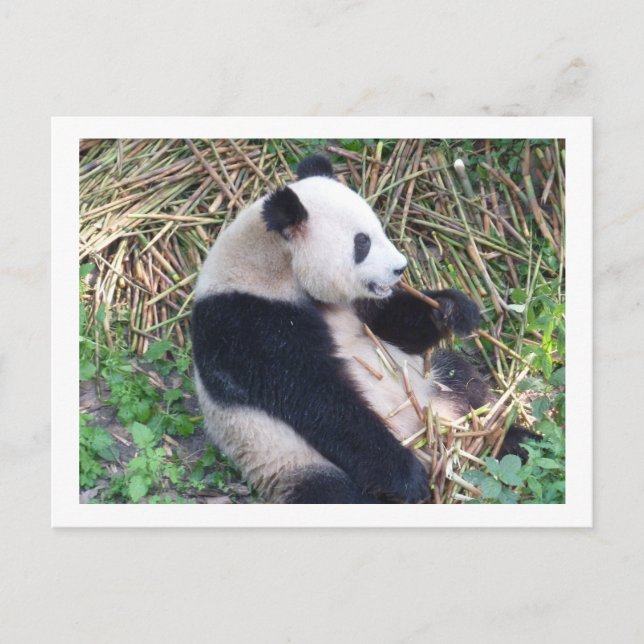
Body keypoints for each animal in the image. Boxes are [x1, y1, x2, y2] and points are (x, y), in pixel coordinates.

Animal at [192, 155, 530, 504]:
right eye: (362, 243)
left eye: (378, 229)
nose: (400, 268)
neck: (272, 264)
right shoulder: (248, 323)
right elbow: (318, 399)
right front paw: (407, 477)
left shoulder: (357, 304)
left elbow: (392, 326)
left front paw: (451, 309)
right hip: (287, 458)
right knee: (330, 491)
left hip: (429, 384)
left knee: (464, 383)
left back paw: (512, 439)